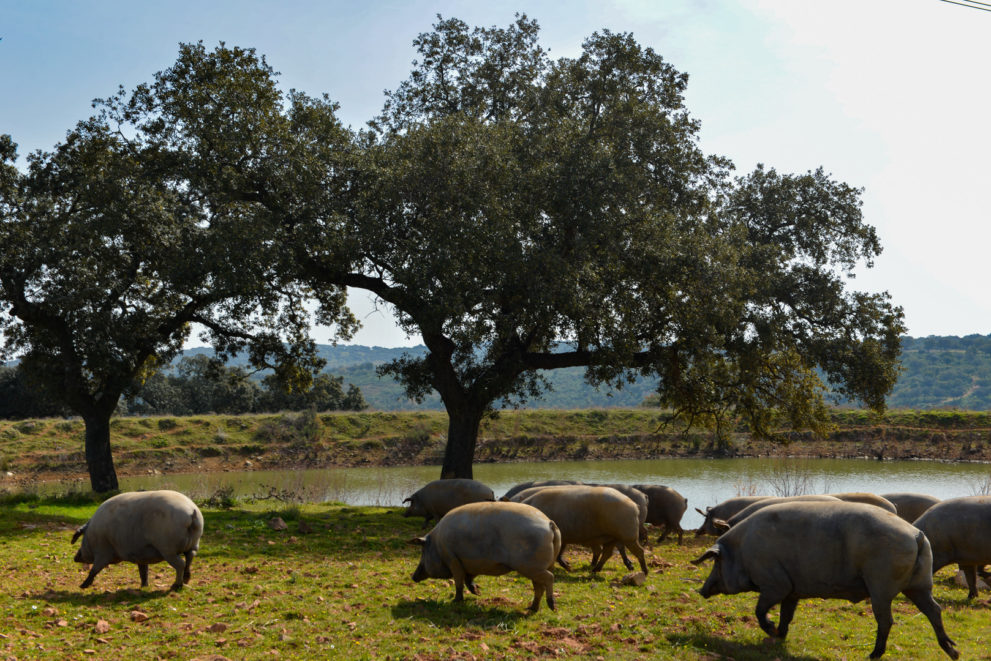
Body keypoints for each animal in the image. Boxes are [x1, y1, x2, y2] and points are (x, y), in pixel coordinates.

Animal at [71, 488, 203, 592]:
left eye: (82, 538)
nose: (75, 557)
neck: (92, 534)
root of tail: (192, 511)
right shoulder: (141, 554)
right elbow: (143, 571)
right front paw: (144, 586)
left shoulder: (103, 552)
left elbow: (94, 570)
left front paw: (82, 586)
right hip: (194, 542)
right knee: (190, 556)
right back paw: (186, 579)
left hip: (168, 548)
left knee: (180, 564)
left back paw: (176, 586)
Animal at [408, 500, 560, 612]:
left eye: (423, 551)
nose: (413, 576)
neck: (437, 544)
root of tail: (549, 523)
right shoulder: (471, 564)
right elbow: (468, 580)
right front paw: (478, 593)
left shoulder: (453, 560)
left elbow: (459, 582)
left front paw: (455, 601)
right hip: (544, 565)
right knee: (539, 587)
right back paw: (531, 608)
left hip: (530, 566)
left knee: (549, 578)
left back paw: (552, 607)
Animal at [520, 482, 652, 576]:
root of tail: (634, 505)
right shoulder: (563, 537)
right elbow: (559, 554)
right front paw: (569, 567)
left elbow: (557, 554)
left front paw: (569, 568)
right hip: (612, 537)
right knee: (607, 553)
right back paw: (594, 570)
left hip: (628, 535)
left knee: (639, 551)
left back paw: (644, 571)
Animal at [688, 502, 960, 656]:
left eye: (716, 562)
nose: (701, 590)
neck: (743, 551)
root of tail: (916, 535)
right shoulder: (793, 590)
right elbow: (787, 614)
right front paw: (779, 636)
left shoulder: (775, 583)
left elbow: (760, 609)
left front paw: (771, 630)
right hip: (920, 584)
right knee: (934, 610)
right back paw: (953, 650)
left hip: (881, 586)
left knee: (887, 620)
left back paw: (873, 655)